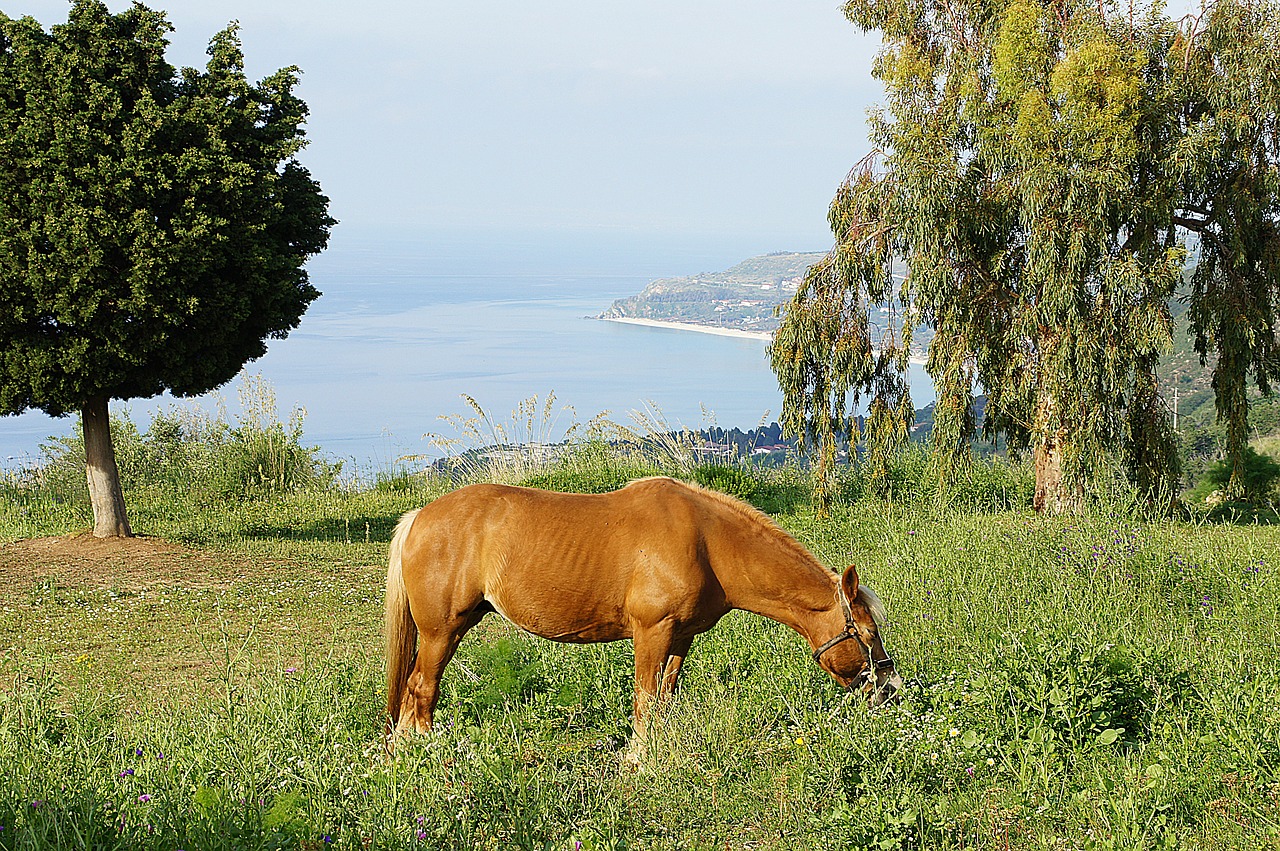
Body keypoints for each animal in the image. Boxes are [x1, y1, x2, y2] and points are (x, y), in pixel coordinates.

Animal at [378, 473, 901, 747]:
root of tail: (419, 517)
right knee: (421, 688)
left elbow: (665, 697)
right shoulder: (652, 631)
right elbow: (646, 700)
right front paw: (639, 757)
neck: (707, 543)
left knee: (410, 691)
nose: (891, 688)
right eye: (867, 632)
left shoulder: (680, 637)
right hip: (443, 631)